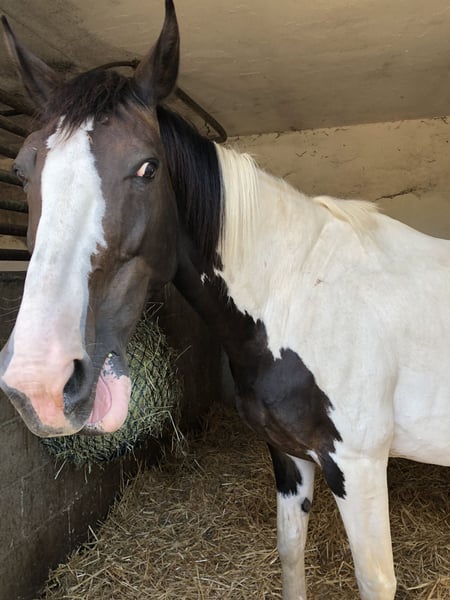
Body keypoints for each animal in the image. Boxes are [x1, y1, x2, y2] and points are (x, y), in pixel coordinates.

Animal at [1, 2, 449, 599]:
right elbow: (290, 552)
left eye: (148, 167)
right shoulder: (289, 455)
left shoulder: (359, 466)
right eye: (21, 170)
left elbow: (374, 581)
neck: (300, 297)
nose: (40, 383)